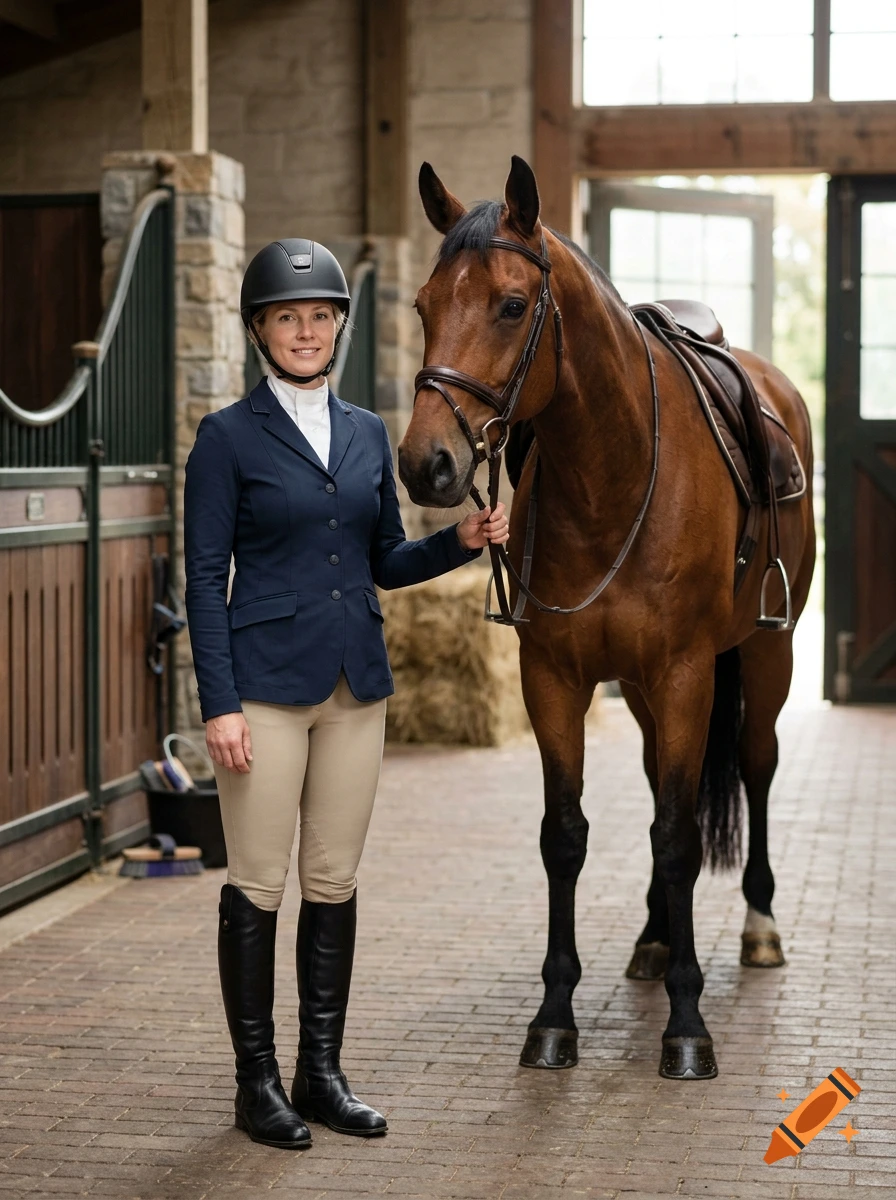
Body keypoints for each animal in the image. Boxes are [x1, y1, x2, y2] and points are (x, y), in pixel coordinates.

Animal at [397, 156, 815, 1080]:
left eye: (513, 304)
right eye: (423, 305)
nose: (424, 463)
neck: (613, 479)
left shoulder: (690, 673)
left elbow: (679, 836)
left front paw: (688, 1026)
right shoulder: (553, 679)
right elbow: (569, 835)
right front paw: (555, 1016)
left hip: (765, 657)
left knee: (758, 767)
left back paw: (760, 928)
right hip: (648, 691)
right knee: (669, 787)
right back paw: (656, 939)